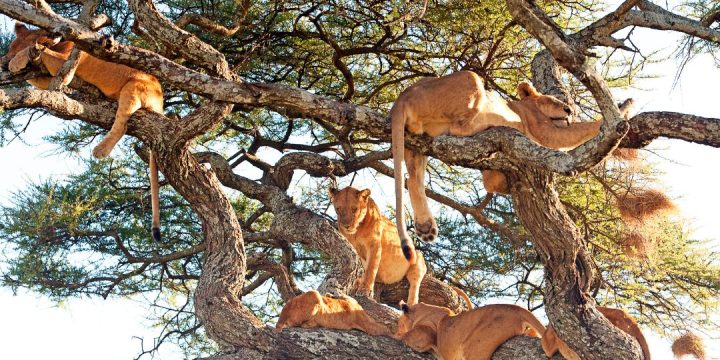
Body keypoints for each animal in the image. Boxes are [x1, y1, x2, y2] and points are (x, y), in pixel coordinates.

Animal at [3, 23, 163, 240]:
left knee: (121, 124)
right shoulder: (51, 79)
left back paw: (100, 150)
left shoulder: (66, 65)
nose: (4, 61)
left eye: (13, 48)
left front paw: (16, 61)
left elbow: (40, 51)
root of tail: (161, 103)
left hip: (133, 87)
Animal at [390, 70, 600, 260]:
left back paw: (425, 227)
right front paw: (605, 121)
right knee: (459, 128)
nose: (569, 111)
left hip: (415, 143)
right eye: (553, 101)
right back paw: (492, 125)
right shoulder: (544, 130)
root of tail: (402, 96)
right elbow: (581, 128)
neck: (523, 108)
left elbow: (492, 183)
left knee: (413, 178)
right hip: (471, 77)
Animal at [394, 300, 544, 360]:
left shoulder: (427, 331)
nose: (396, 330)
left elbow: (406, 336)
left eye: (399, 323)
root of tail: (517, 309)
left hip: (474, 347)